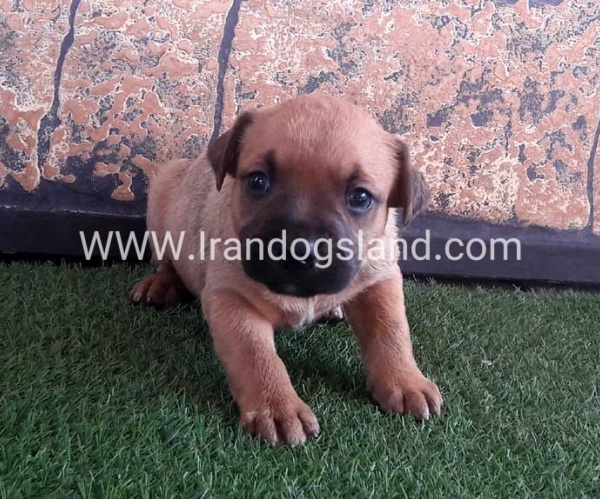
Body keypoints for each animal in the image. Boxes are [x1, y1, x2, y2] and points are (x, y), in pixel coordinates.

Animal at [131, 94, 442, 445]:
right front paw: (277, 407)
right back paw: (159, 284)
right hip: (161, 204)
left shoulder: (380, 279)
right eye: (258, 181)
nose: (298, 249)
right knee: (167, 261)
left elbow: (391, 332)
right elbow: (257, 356)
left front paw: (405, 381)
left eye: (360, 197)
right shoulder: (231, 298)